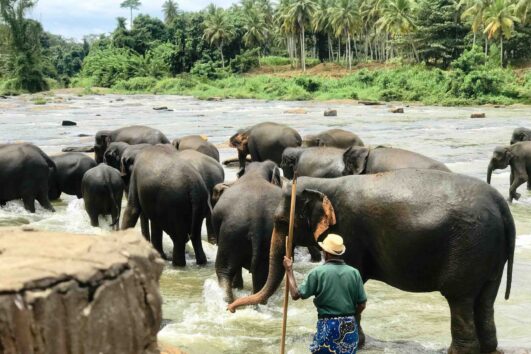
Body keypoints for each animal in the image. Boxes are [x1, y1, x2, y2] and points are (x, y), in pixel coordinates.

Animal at [229, 169, 516, 354]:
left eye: (280, 222)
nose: (231, 309)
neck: (324, 184)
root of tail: (501, 204)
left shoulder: (349, 231)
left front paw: (357, 344)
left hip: (469, 246)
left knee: (460, 298)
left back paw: (456, 351)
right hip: (490, 253)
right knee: (486, 298)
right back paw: (490, 348)